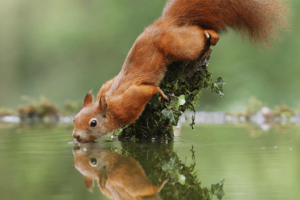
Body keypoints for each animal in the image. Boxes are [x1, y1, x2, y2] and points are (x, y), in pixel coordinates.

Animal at [72, 0, 288, 142]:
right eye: (74, 118)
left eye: (93, 123)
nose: (75, 136)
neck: (109, 103)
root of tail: (167, 22)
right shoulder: (106, 86)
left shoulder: (130, 101)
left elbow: (147, 90)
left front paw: (159, 93)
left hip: (181, 45)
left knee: (196, 36)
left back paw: (210, 33)